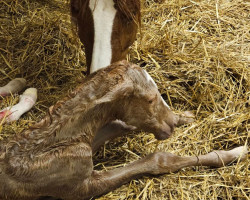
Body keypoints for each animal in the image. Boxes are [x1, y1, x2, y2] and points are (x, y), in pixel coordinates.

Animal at [0, 60, 246, 199]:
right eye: (149, 99)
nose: (169, 126)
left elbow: (120, 124)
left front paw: (185, 117)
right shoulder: (80, 187)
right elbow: (158, 159)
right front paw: (237, 152)